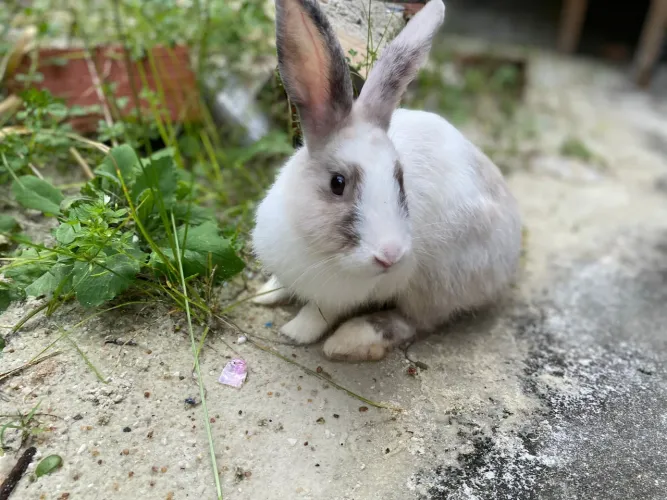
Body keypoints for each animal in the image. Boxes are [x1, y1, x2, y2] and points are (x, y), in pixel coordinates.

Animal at [250, 0, 522, 361]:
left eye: (400, 180)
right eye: (337, 183)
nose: (390, 255)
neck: (313, 244)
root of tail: (512, 255)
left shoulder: (338, 296)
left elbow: (319, 313)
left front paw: (296, 332)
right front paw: (264, 294)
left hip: (437, 282)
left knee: (415, 321)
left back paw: (351, 339)